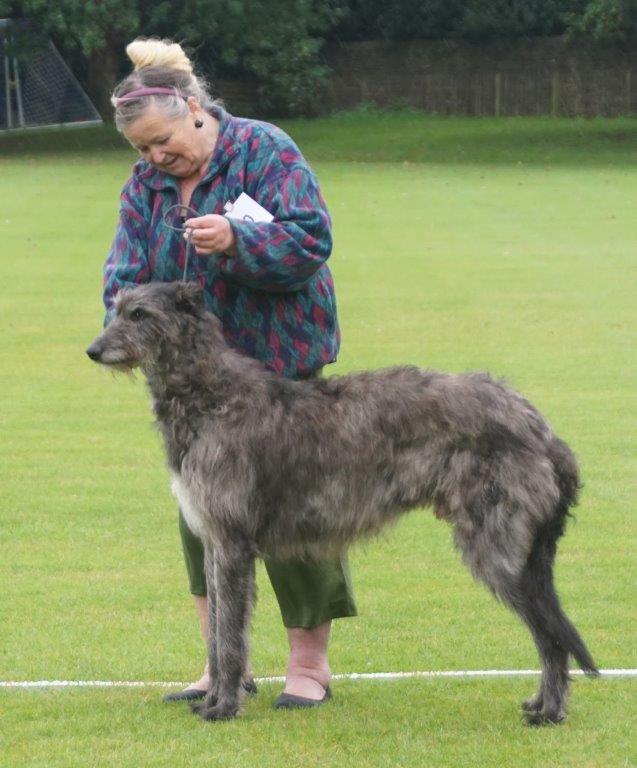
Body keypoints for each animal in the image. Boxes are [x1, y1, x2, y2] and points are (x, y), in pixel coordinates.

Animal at [85, 280, 596, 724]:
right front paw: (212, 698)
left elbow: (229, 636)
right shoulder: (214, 543)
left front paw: (223, 707)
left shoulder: (231, 543)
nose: (93, 350)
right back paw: (542, 704)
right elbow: (217, 630)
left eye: (139, 314)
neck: (210, 394)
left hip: (499, 547)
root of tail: (541, 427)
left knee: (551, 635)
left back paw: (550, 712)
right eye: (116, 309)